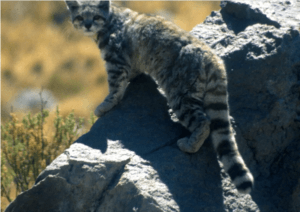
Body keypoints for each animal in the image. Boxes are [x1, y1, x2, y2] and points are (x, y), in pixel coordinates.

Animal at [65, 0, 253, 193]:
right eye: (80, 16)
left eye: (95, 16)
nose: (87, 25)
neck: (110, 20)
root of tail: (214, 59)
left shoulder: (115, 62)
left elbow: (115, 89)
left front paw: (104, 106)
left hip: (181, 95)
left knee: (204, 122)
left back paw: (189, 145)